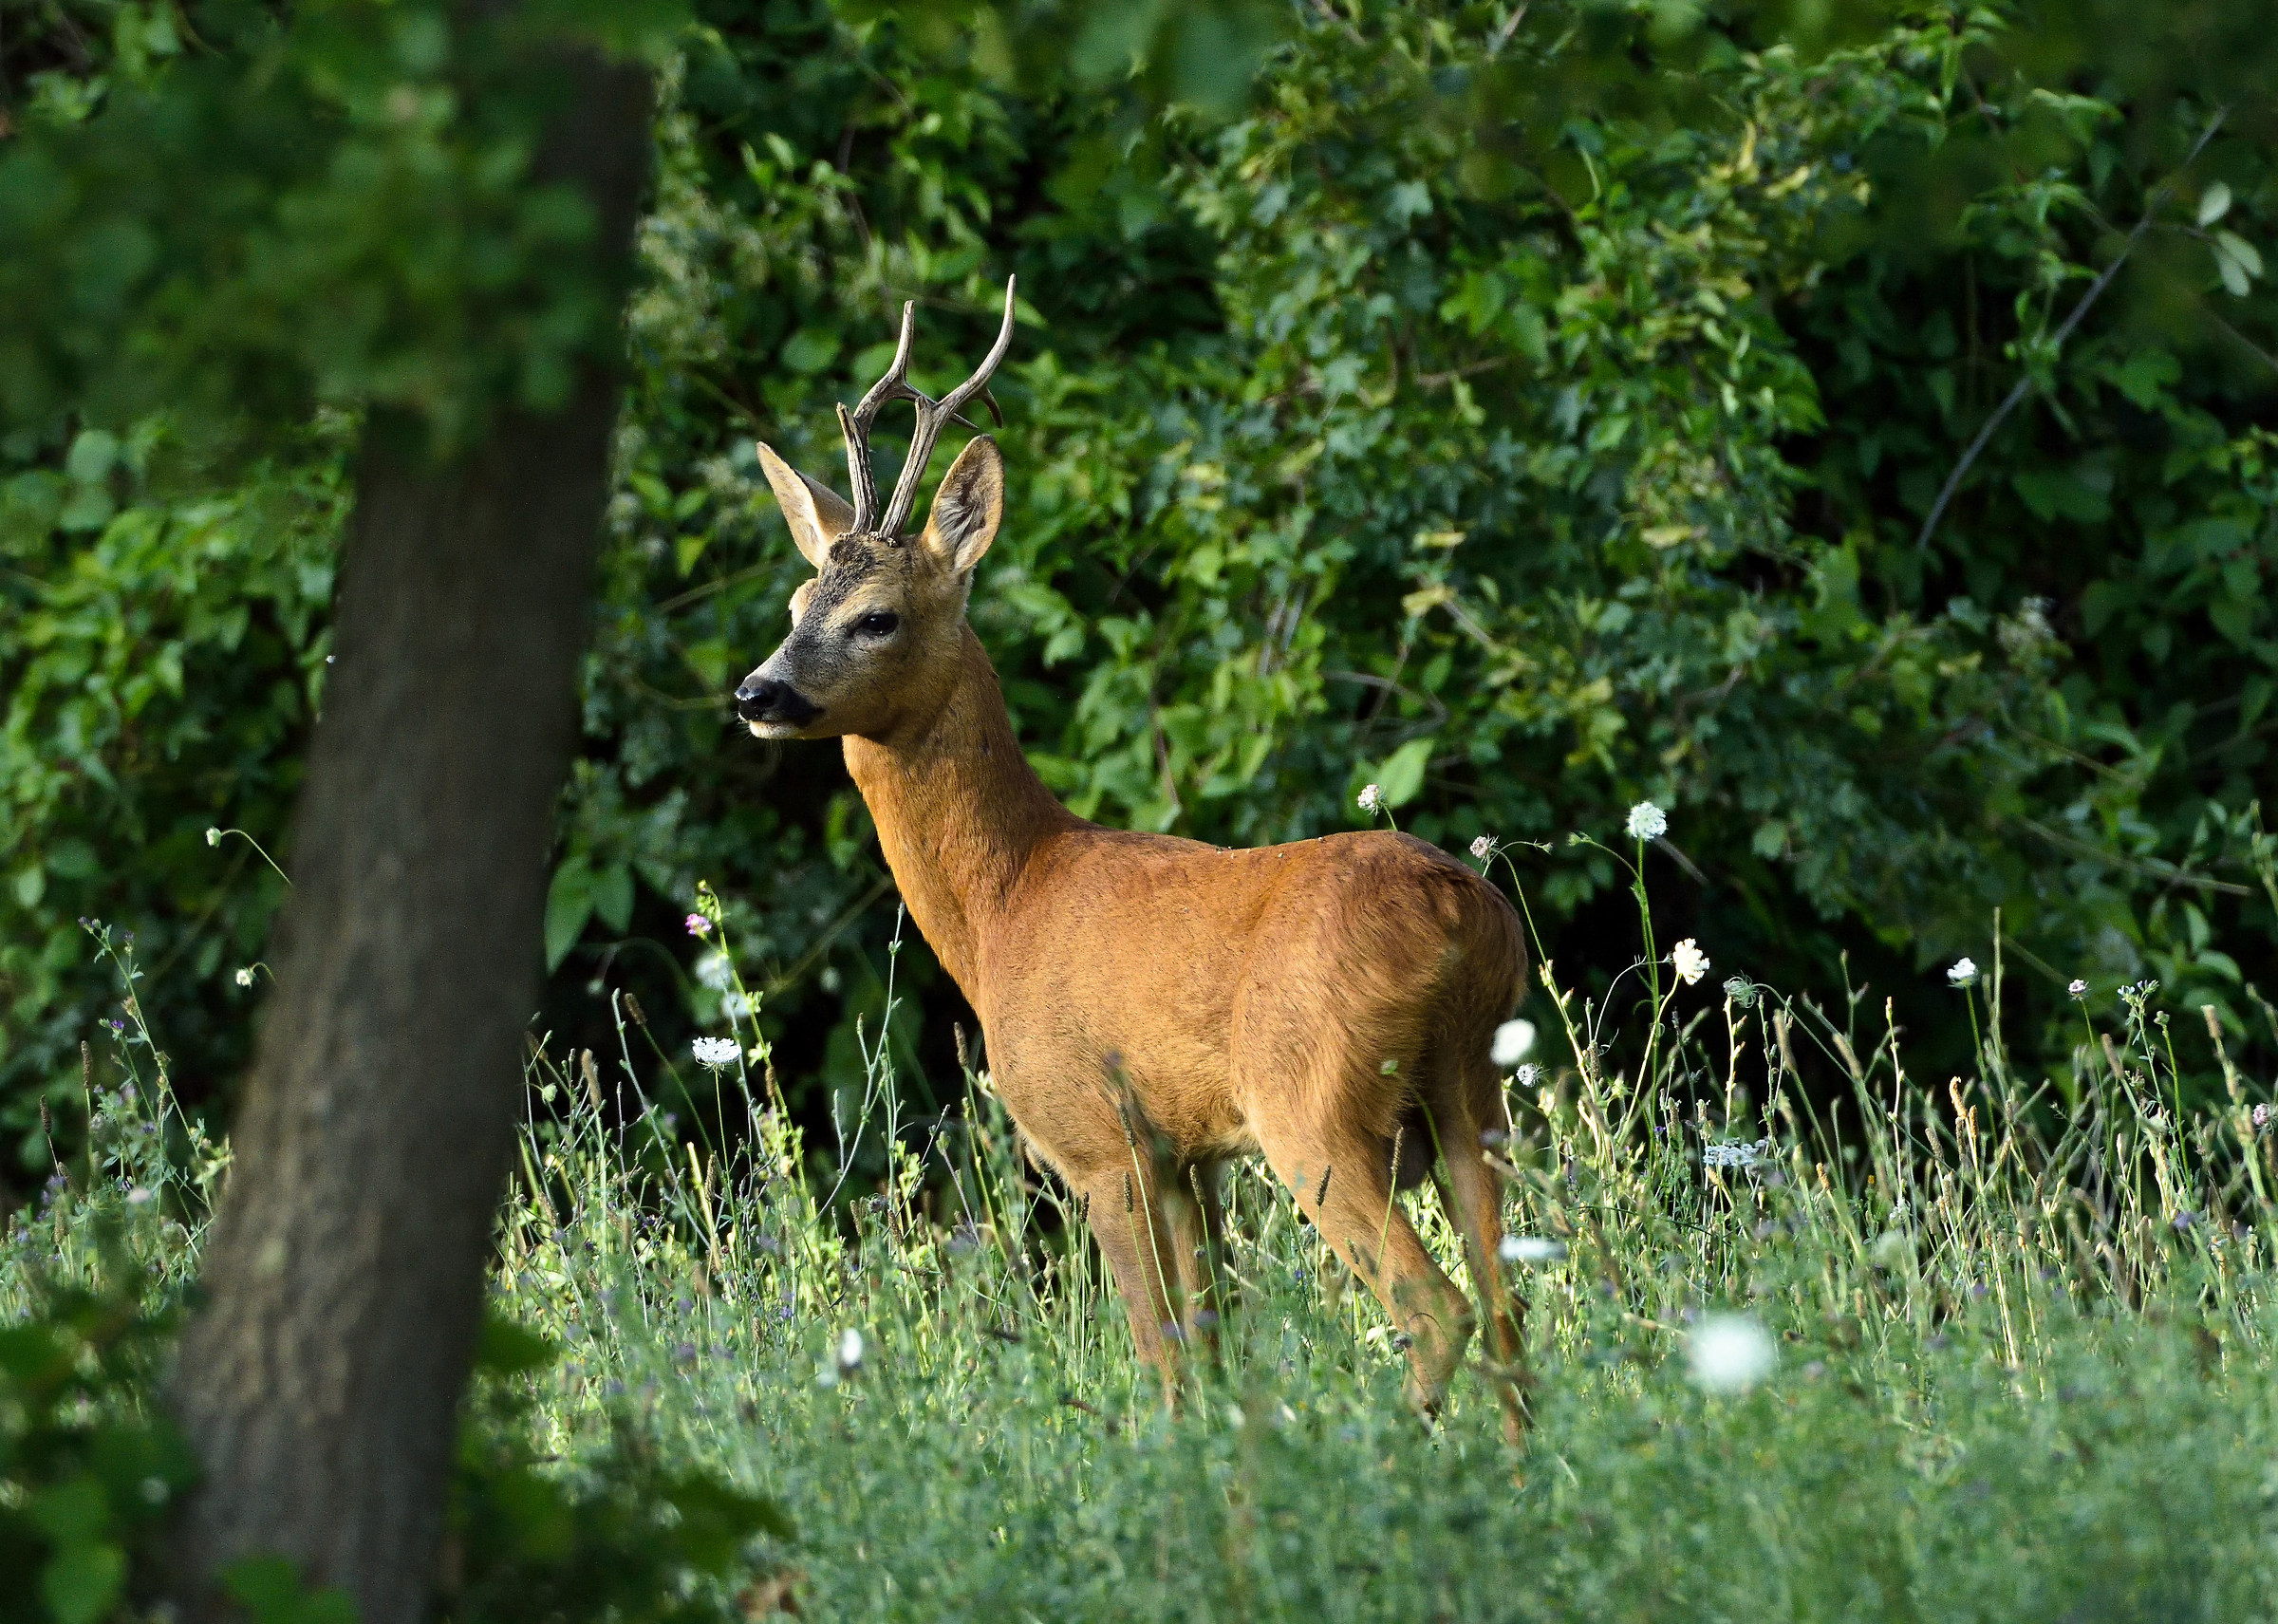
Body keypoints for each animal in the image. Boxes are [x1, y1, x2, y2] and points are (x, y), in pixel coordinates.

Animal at [732, 278, 1532, 1440]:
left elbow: (1162, 1359)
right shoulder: (1186, 1153)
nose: (757, 691)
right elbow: (1214, 1350)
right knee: (1513, 1323)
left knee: (1440, 1311)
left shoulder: (1099, 1139)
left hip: (1314, 1105)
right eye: (796, 607)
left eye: (875, 617)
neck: (1008, 902)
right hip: (1474, 1092)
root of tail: (1464, 915)